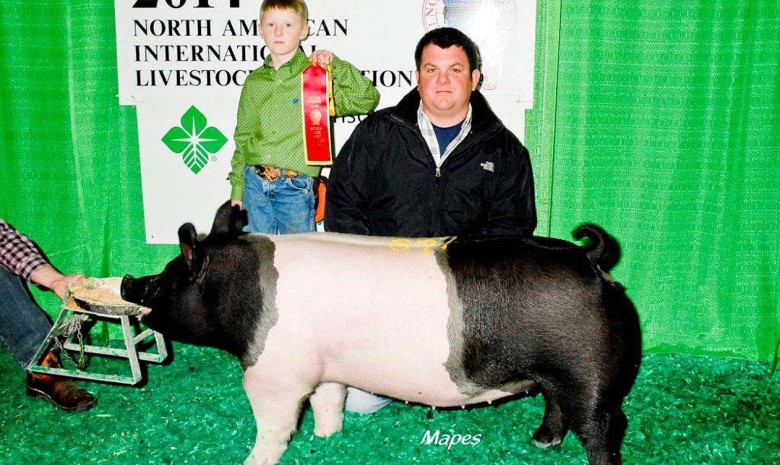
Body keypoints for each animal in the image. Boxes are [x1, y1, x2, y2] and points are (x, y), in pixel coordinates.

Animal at [122, 202, 640, 464]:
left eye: (166, 279)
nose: (129, 280)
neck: (238, 295)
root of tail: (589, 258)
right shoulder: (326, 367)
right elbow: (328, 401)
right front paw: (328, 439)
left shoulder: (273, 374)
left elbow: (274, 426)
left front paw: (253, 461)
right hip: (556, 370)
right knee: (556, 404)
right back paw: (539, 443)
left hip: (588, 370)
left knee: (603, 426)